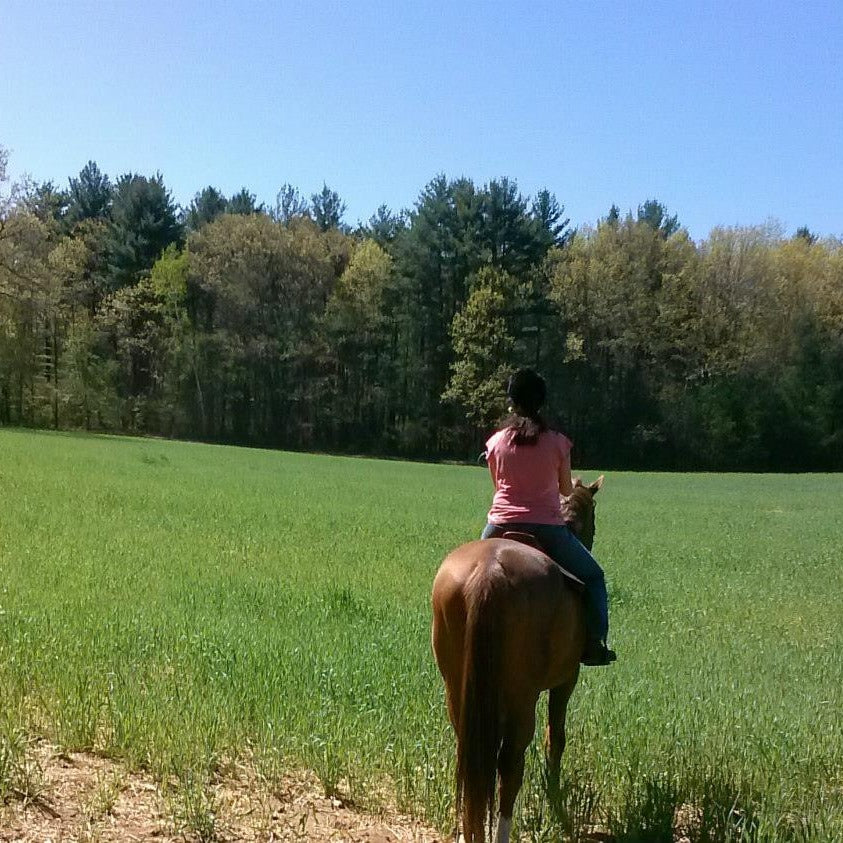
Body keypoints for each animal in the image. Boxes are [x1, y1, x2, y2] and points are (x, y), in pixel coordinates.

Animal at [431, 476, 604, 843]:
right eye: (593, 513)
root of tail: (489, 571)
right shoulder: (566, 680)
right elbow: (556, 737)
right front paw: (554, 800)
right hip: (522, 695)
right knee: (510, 762)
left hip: (458, 687)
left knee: (469, 753)